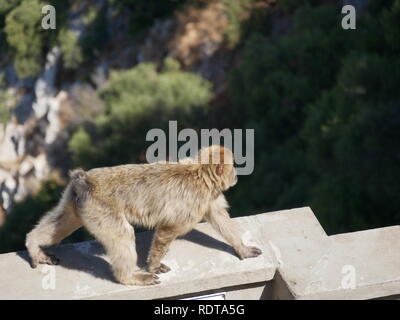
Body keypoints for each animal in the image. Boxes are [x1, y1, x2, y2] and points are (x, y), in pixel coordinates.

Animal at [25, 145, 262, 284]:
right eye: (233, 166)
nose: (236, 175)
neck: (199, 173)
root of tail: (85, 179)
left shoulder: (209, 196)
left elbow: (220, 217)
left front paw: (242, 249)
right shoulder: (194, 201)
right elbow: (167, 229)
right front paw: (154, 264)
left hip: (77, 203)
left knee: (62, 223)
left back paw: (33, 244)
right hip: (101, 209)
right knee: (122, 234)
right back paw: (129, 277)